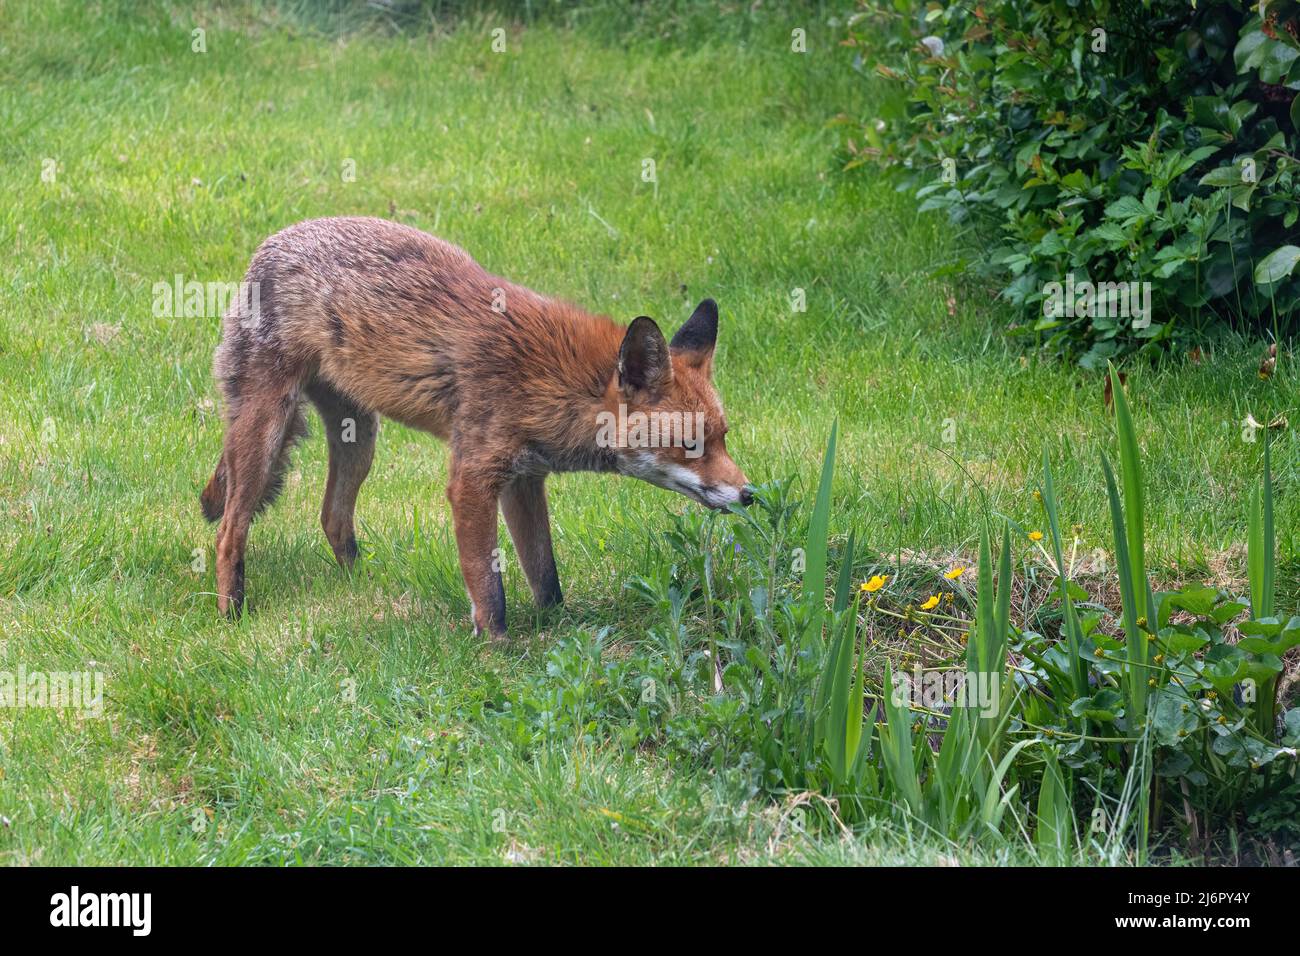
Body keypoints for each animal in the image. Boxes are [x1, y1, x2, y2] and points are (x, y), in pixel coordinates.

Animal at [201, 217, 754, 642]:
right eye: (689, 445)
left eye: (724, 437)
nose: (749, 494)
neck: (556, 379)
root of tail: (270, 243)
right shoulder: (473, 479)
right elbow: (488, 585)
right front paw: (497, 651)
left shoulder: (525, 479)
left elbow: (545, 574)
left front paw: (557, 627)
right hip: (264, 432)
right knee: (229, 530)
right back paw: (232, 614)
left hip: (360, 439)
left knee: (332, 519)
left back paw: (361, 589)